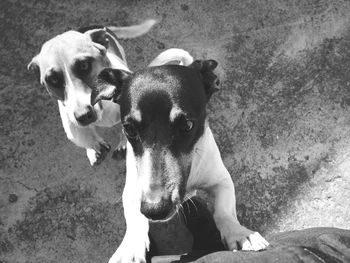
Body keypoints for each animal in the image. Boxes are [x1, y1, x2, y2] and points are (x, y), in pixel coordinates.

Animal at [90, 60, 268, 263]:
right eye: (129, 129)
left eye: (187, 125)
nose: (155, 210)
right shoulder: (133, 190)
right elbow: (134, 218)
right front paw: (130, 248)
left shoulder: (221, 180)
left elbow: (224, 211)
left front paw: (239, 233)